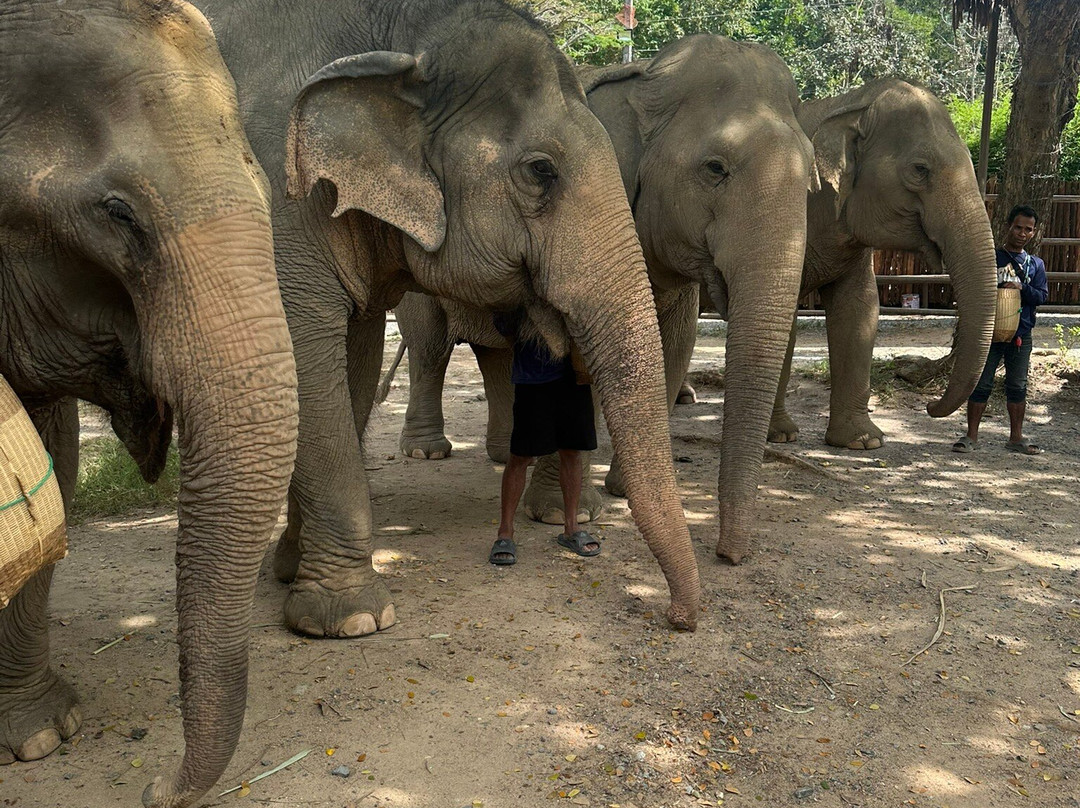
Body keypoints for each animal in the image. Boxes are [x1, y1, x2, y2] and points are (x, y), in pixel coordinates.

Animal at [192, 0, 701, 636]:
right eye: (541, 170)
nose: (678, 617)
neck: (403, 35)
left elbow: (354, 362)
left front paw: (287, 571)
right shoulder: (278, 204)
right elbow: (304, 364)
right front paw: (353, 619)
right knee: (432, 346)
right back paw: (428, 457)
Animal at [761, 79, 996, 468]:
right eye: (920, 169)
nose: (929, 406)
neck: (849, 104)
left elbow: (860, 309)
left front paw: (863, 443)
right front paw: (779, 436)